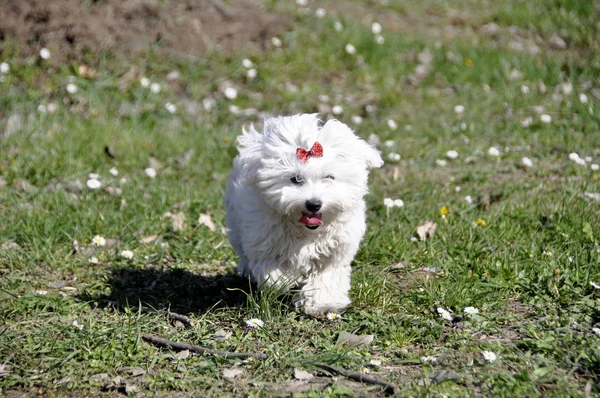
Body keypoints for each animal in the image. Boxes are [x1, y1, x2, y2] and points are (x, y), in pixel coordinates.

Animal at [225, 113, 384, 316]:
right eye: (296, 179)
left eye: (329, 177)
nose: (314, 204)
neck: (307, 231)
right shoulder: (263, 237)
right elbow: (271, 269)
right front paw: (286, 278)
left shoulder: (335, 249)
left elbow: (327, 276)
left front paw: (322, 303)